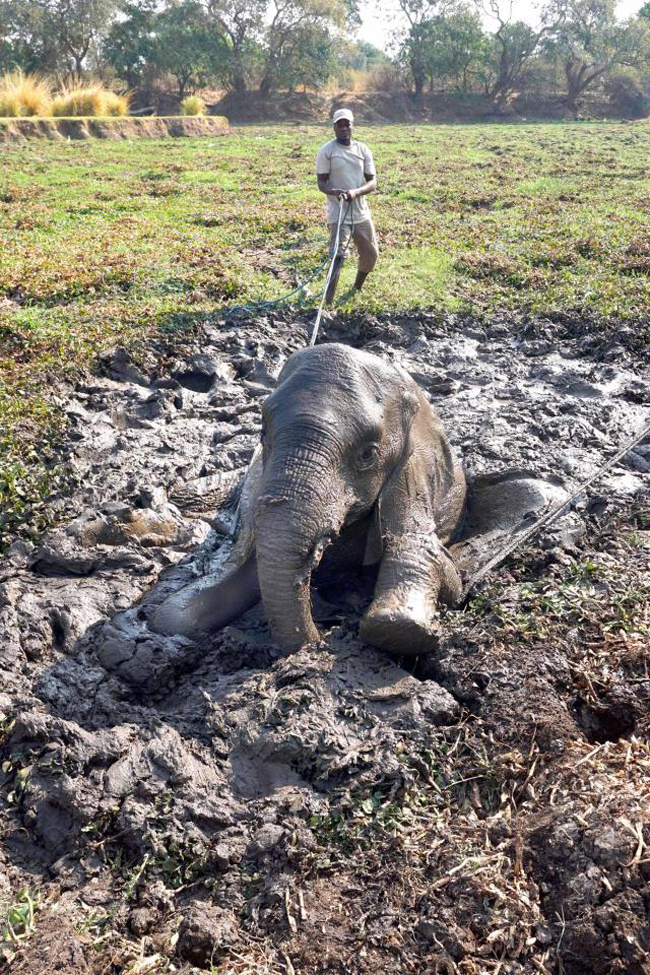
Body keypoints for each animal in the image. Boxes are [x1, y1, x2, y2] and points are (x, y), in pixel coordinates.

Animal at [151, 344, 466, 656]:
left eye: (368, 454)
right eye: (263, 433)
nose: (318, 640)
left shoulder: (413, 470)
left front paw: (396, 626)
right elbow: (177, 615)